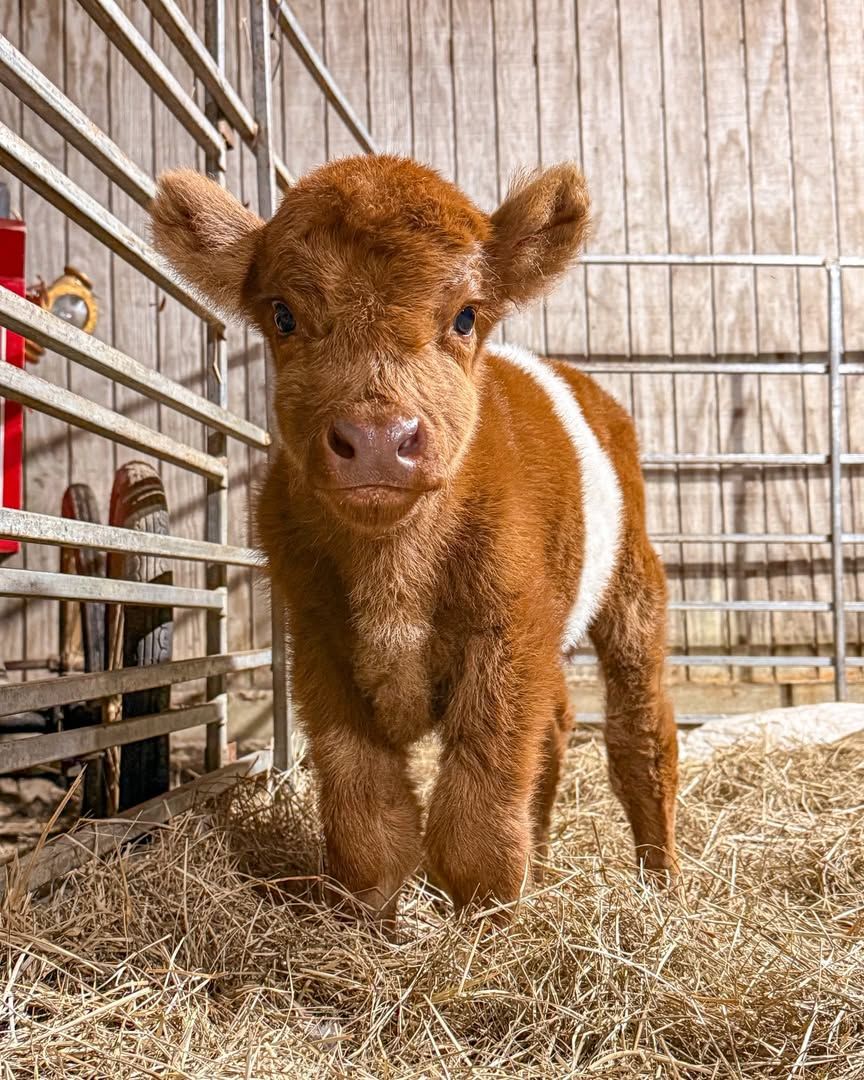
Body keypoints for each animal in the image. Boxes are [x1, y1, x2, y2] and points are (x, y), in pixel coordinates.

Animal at [150, 155, 678, 924]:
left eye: (465, 316)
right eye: (284, 315)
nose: (377, 439)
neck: (392, 567)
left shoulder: (509, 634)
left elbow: (477, 816)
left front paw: (487, 921)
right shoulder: (316, 642)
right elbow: (366, 816)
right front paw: (368, 919)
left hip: (633, 582)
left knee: (641, 736)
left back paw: (660, 883)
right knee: (555, 730)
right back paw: (546, 865)